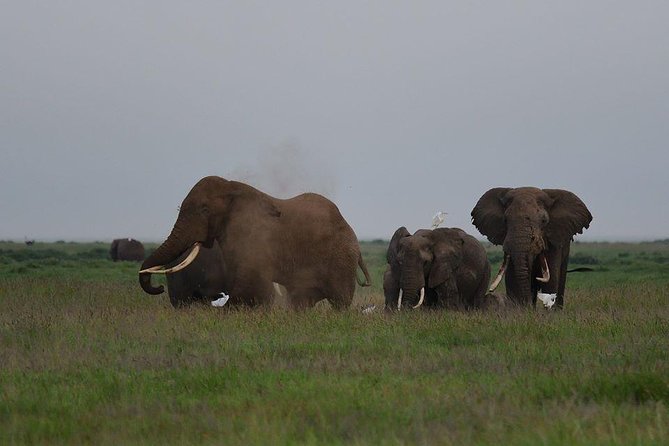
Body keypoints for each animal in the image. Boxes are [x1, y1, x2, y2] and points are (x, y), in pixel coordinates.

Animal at [139, 176, 371, 310]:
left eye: (204, 210)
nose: (158, 287)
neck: (232, 188)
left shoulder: (253, 235)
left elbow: (251, 285)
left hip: (341, 259)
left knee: (340, 302)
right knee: (300, 300)